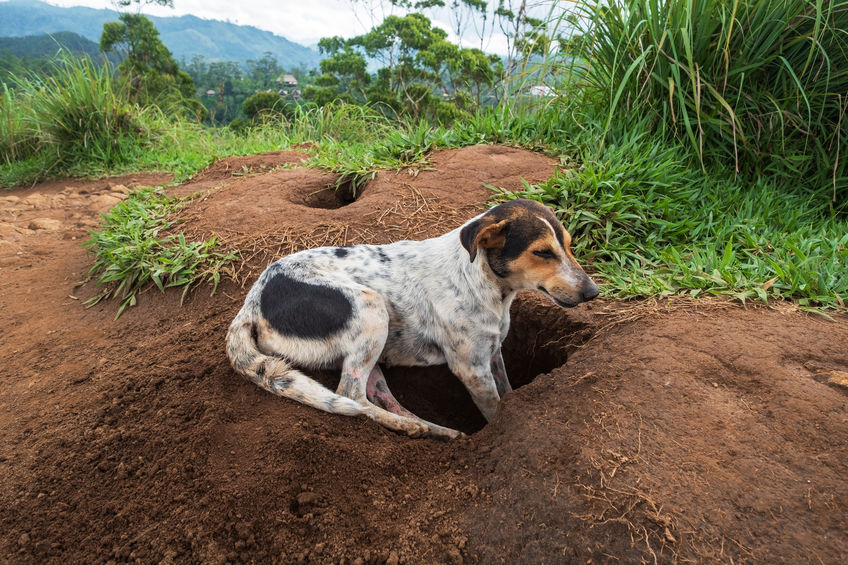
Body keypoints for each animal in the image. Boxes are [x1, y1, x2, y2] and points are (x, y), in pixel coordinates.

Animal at [225, 199, 596, 440]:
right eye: (542, 252)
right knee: (349, 394)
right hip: (370, 307)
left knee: (376, 394)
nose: (592, 292)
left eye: (569, 245)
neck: (481, 279)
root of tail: (251, 305)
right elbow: (494, 410)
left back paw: (433, 429)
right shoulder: (471, 368)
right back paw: (407, 427)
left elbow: (507, 393)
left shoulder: (493, 353)